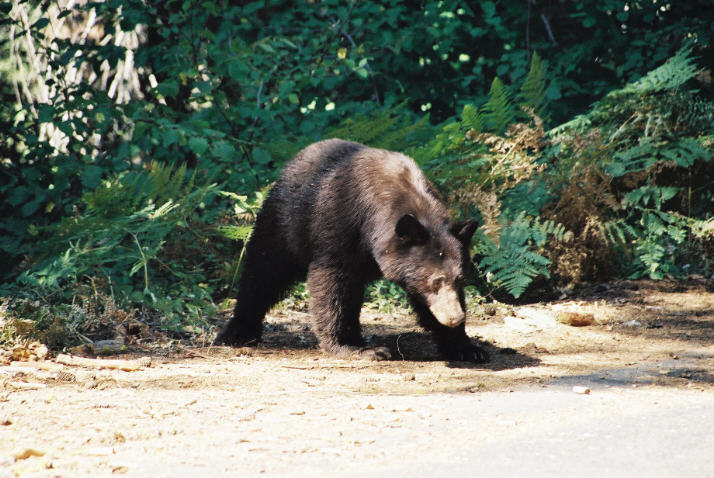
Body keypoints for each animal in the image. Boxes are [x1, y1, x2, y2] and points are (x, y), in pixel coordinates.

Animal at [214, 138, 486, 362]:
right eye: (435, 281)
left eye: (460, 279)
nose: (455, 317)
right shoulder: (339, 228)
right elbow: (332, 286)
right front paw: (352, 347)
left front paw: (466, 347)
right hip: (284, 220)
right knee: (262, 271)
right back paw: (238, 331)